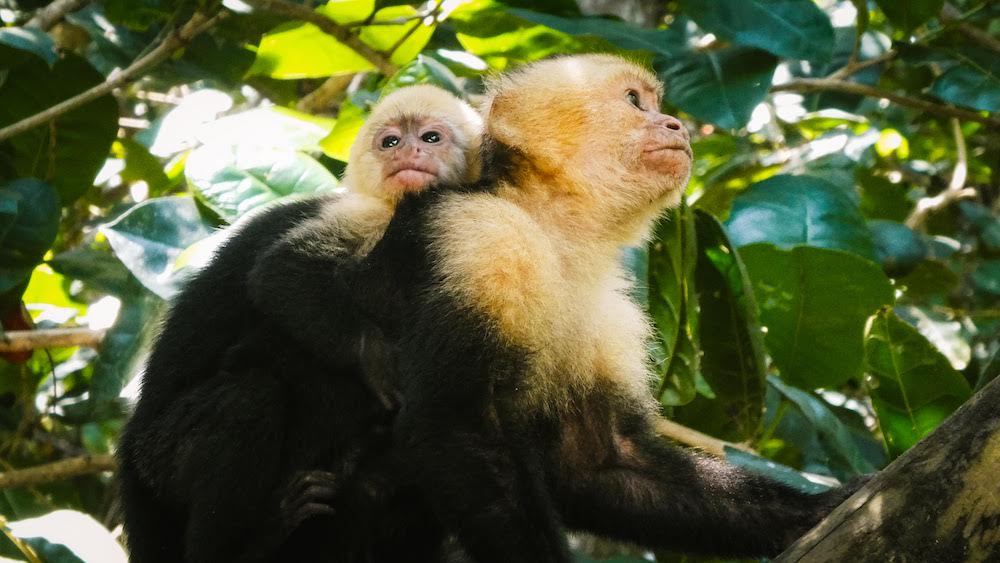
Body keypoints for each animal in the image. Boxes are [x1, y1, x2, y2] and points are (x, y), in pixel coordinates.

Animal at [117, 85, 484, 563]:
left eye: (431, 137)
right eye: (390, 142)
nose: (408, 152)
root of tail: (129, 452)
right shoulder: (366, 217)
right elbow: (279, 274)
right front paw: (378, 360)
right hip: (159, 461)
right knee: (249, 399)